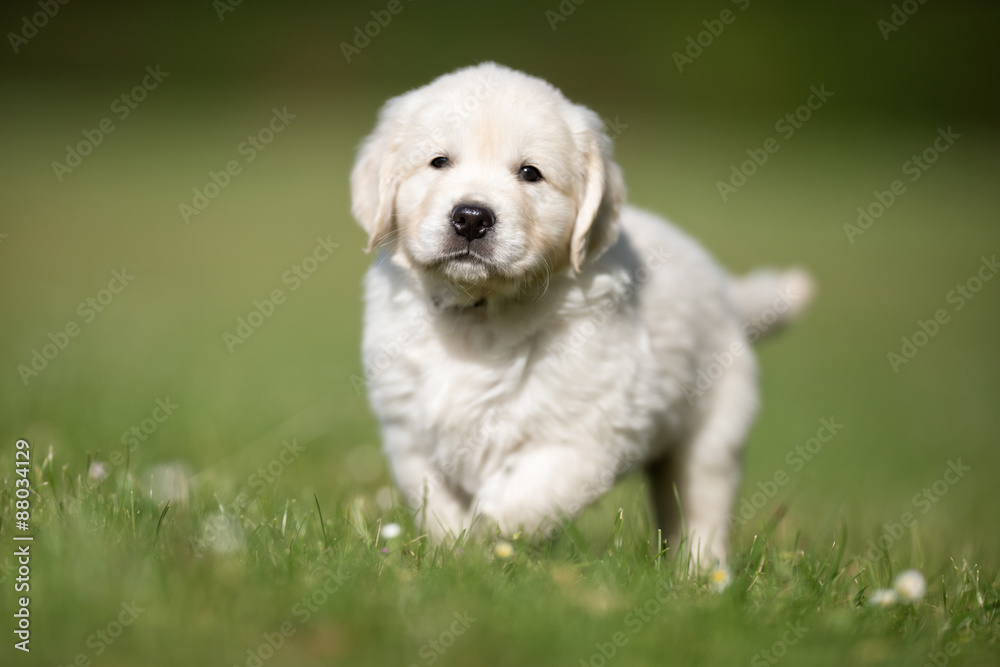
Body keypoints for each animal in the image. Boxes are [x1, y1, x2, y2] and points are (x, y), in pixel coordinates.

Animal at [348, 62, 808, 564]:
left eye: (530, 173)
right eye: (438, 162)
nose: (471, 217)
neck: (481, 314)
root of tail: (727, 290)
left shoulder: (586, 434)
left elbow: (522, 498)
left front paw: (489, 546)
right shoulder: (409, 432)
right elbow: (436, 505)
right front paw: (454, 556)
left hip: (712, 429)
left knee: (701, 506)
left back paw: (701, 572)